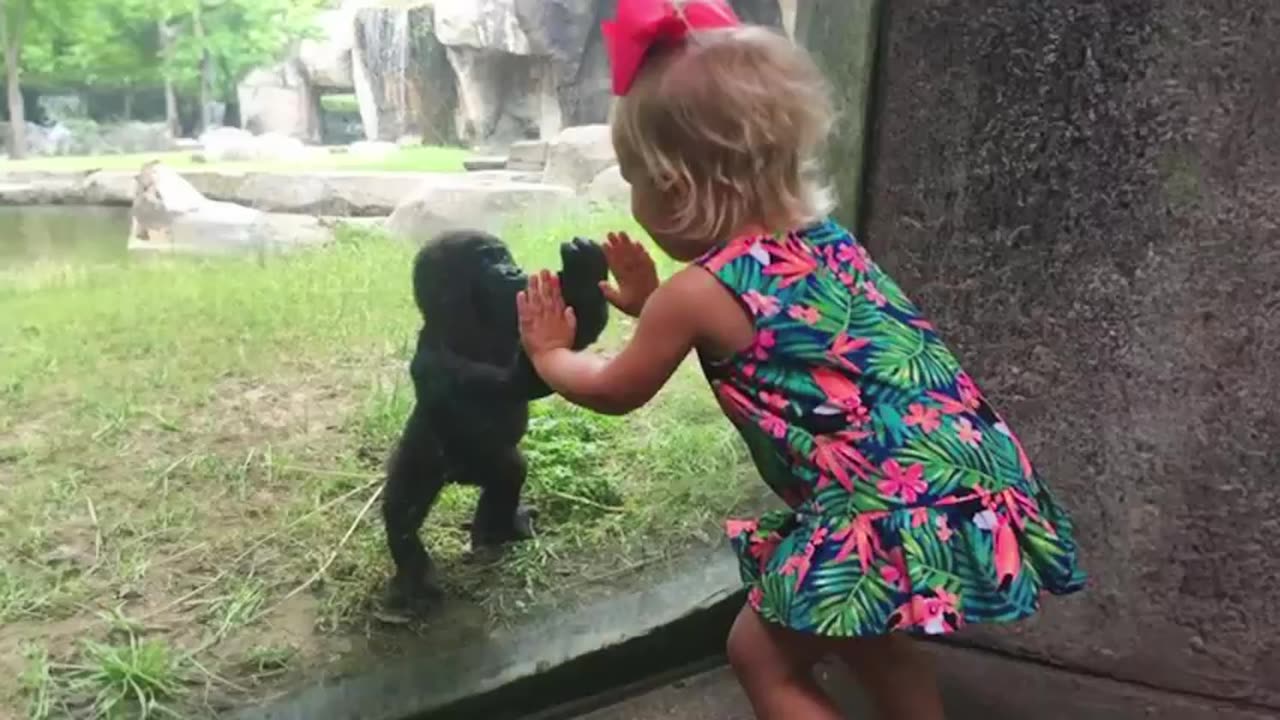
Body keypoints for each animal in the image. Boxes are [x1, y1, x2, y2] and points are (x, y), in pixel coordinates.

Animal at [378, 228, 609, 609]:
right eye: (487, 260)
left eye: (502, 255)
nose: (513, 270)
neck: (467, 322)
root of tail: (456, 477)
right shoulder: (433, 356)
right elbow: (517, 381)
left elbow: (571, 340)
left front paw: (584, 273)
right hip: (425, 453)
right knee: (402, 511)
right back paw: (414, 578)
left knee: (505, 477)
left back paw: (498, 530)